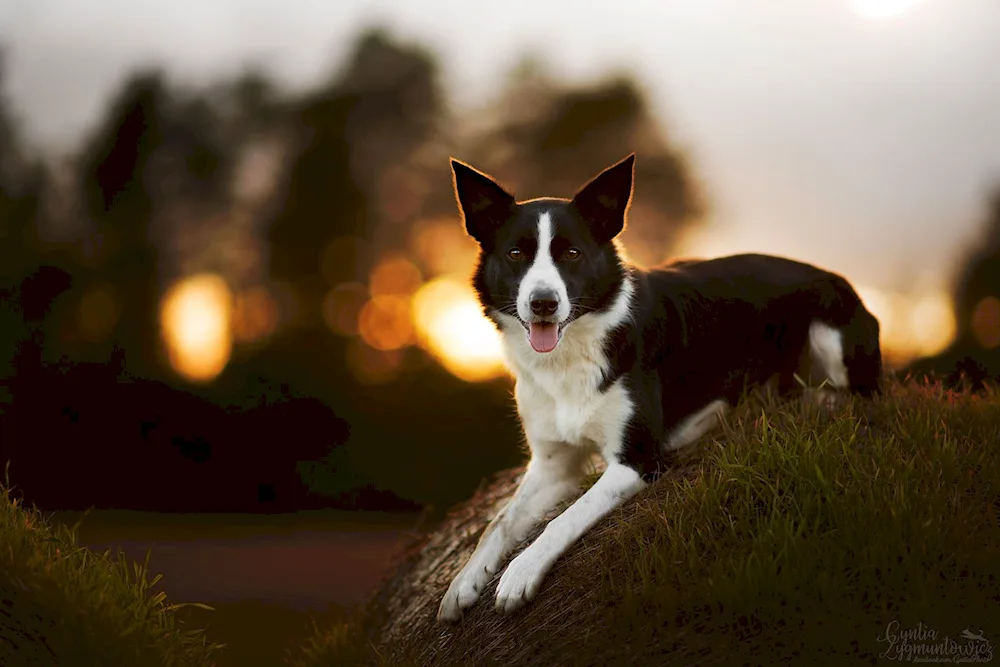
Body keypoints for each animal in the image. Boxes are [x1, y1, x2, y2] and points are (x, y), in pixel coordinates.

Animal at [438, 154, 884, 624]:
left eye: (573, 254)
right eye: (516, 254)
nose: (543, 303)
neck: (571, 355)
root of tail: (834, 274)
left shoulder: (636, 459)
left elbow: (565, 517)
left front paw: (520, 572)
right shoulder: (552, 465)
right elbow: (497, 523)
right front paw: (463, 582)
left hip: (832, 334)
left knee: (860, 393)